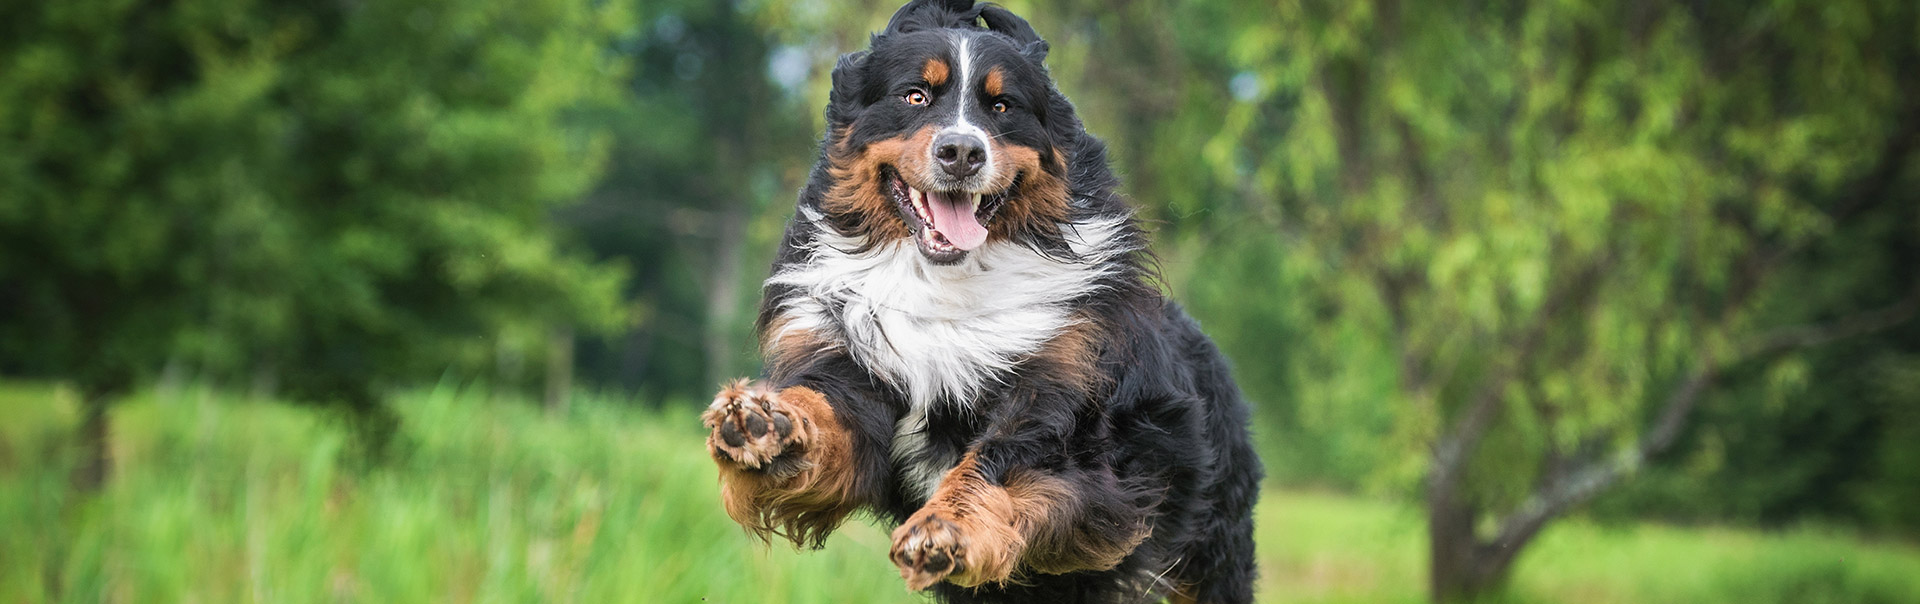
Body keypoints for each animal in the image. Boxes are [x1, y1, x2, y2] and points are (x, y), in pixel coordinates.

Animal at [702, 2, 1259, 602]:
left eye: (1002, 106)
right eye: (915, 95)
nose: (962, 152)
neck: (946, 281)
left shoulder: (1069, 403)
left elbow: (994, 462)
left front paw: (943, 528)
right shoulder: (850, 373)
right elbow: (825, 415)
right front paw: (763, 423)